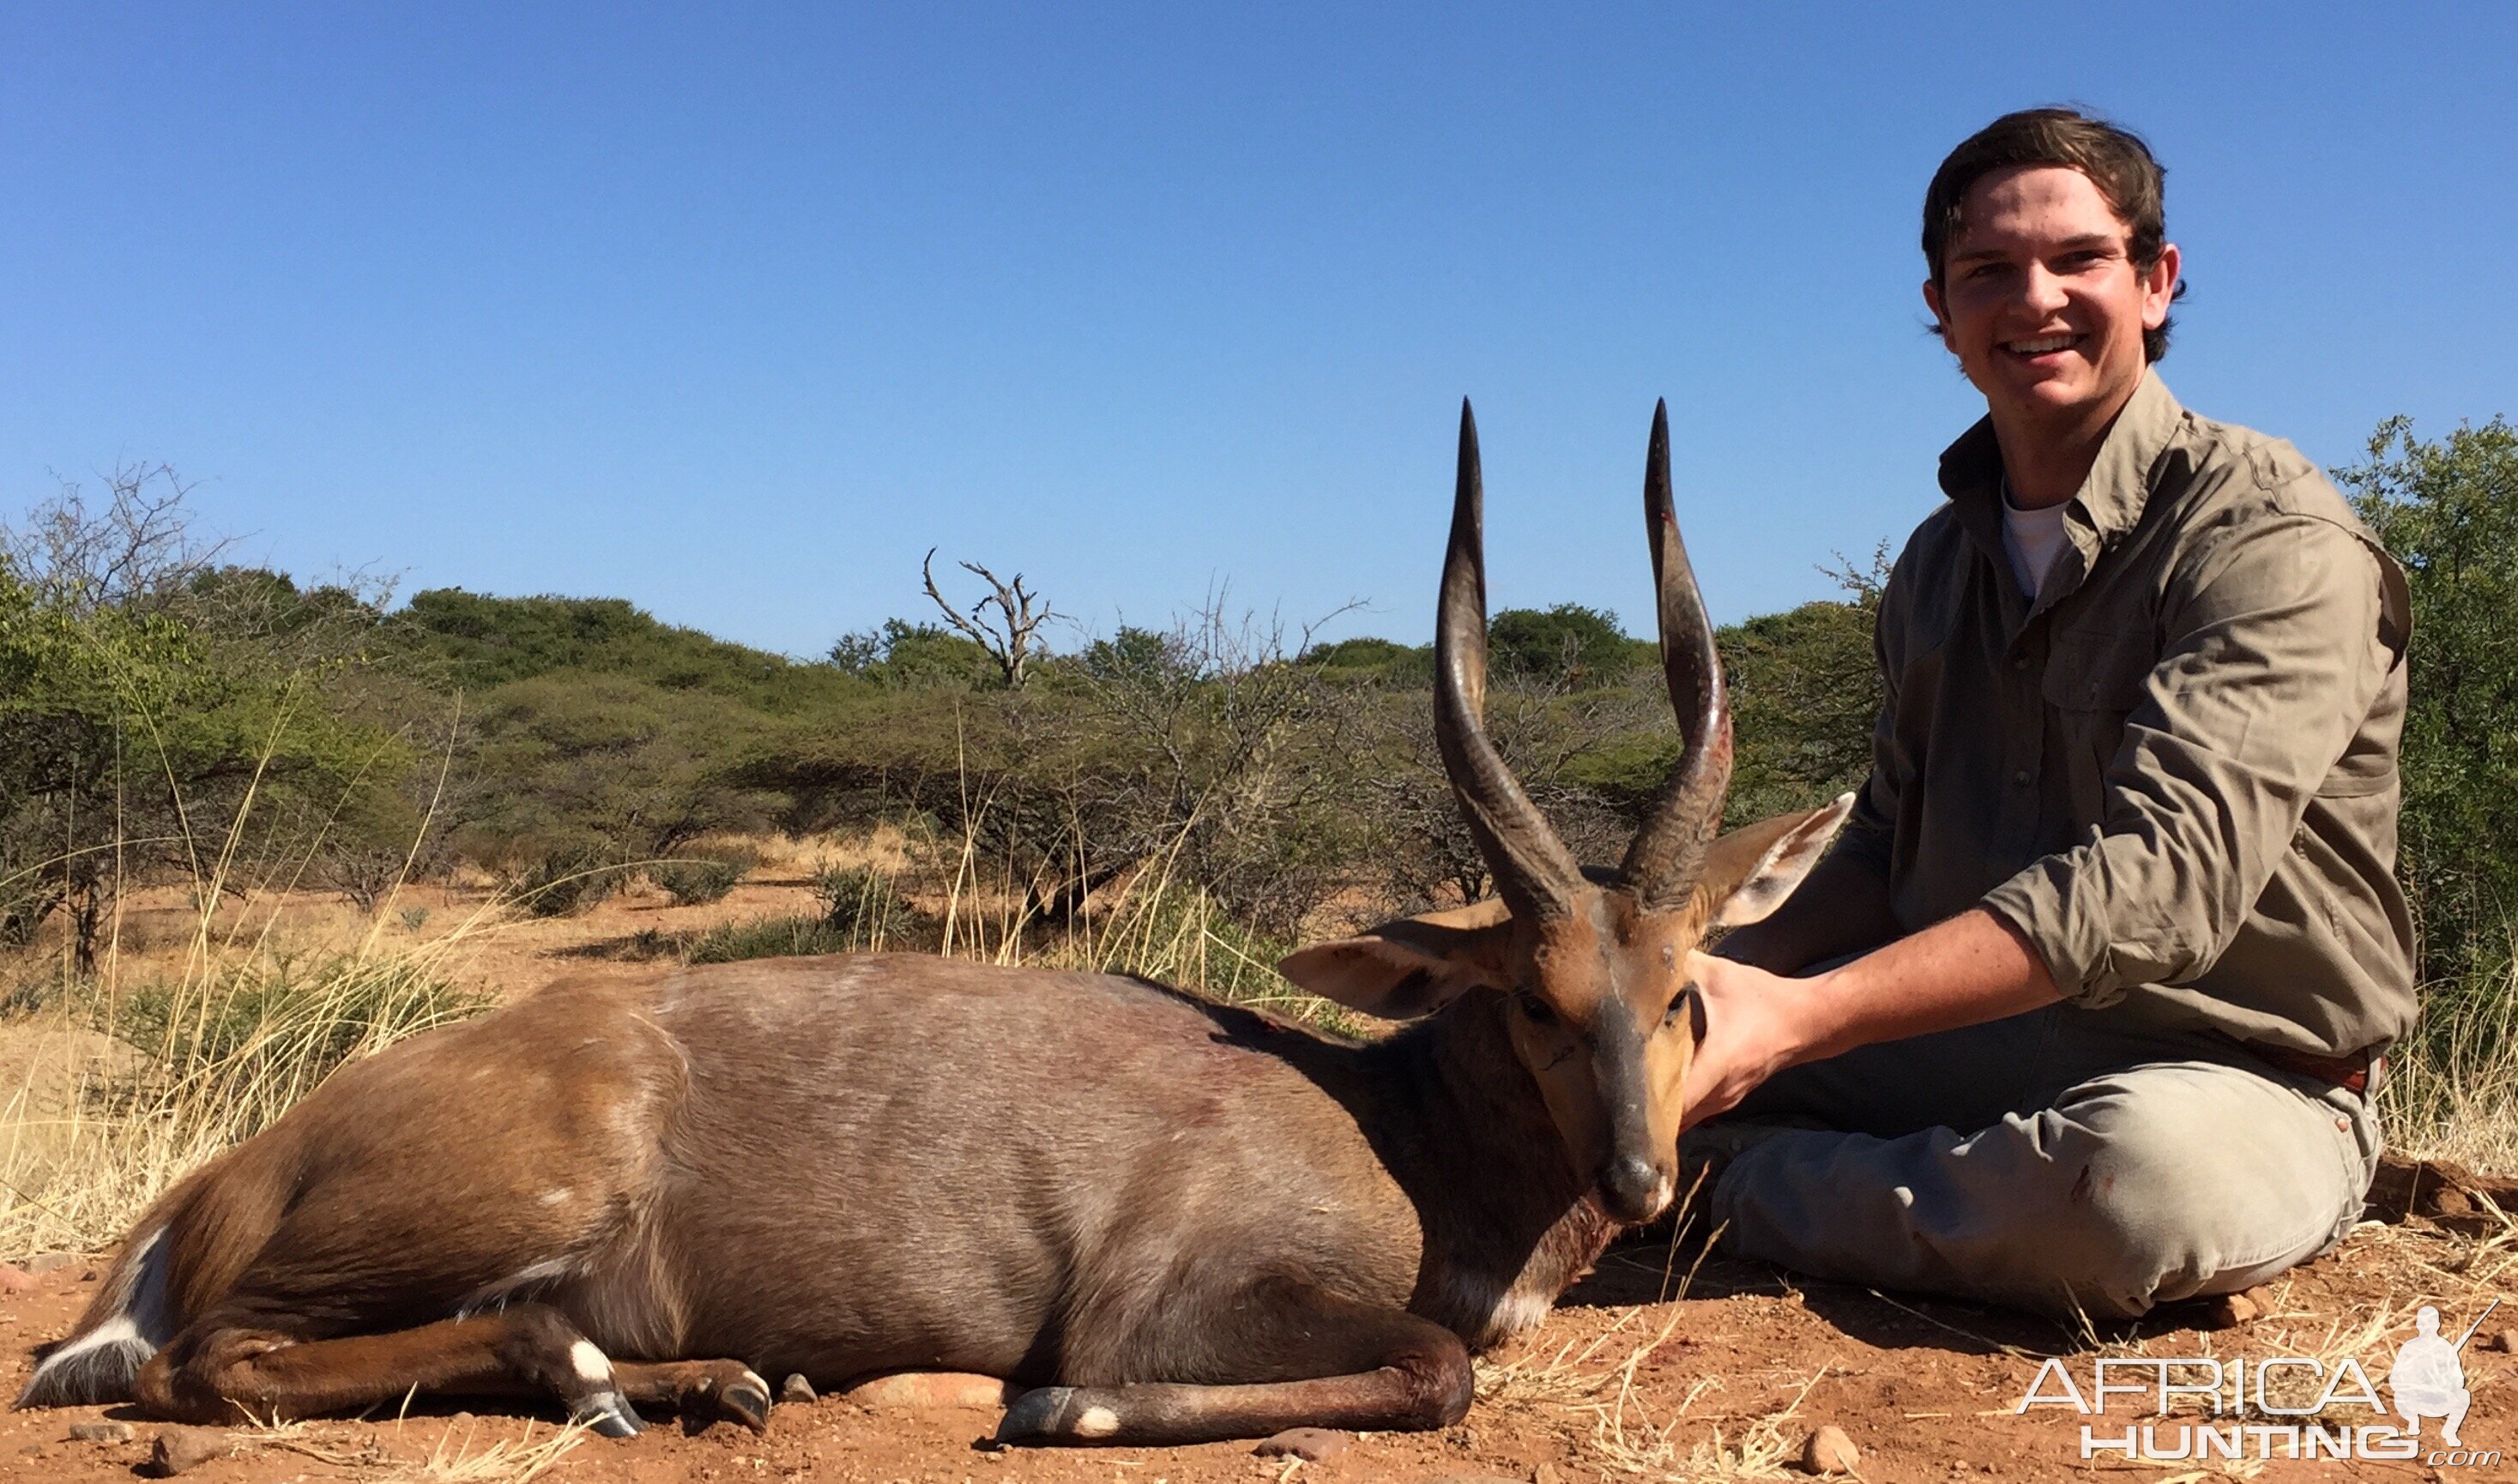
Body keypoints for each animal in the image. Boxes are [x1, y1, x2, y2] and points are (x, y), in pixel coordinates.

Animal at [19, 398, 1853, 1441]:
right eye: (1537, 996)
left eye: (1686, 989)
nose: (1641, 1180)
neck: (1394, 1116)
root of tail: (214, 1188)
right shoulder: (1164, 1296)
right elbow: (1425, 1367)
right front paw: (1056, 1406)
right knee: (210, 1366)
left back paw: (696, 1388)